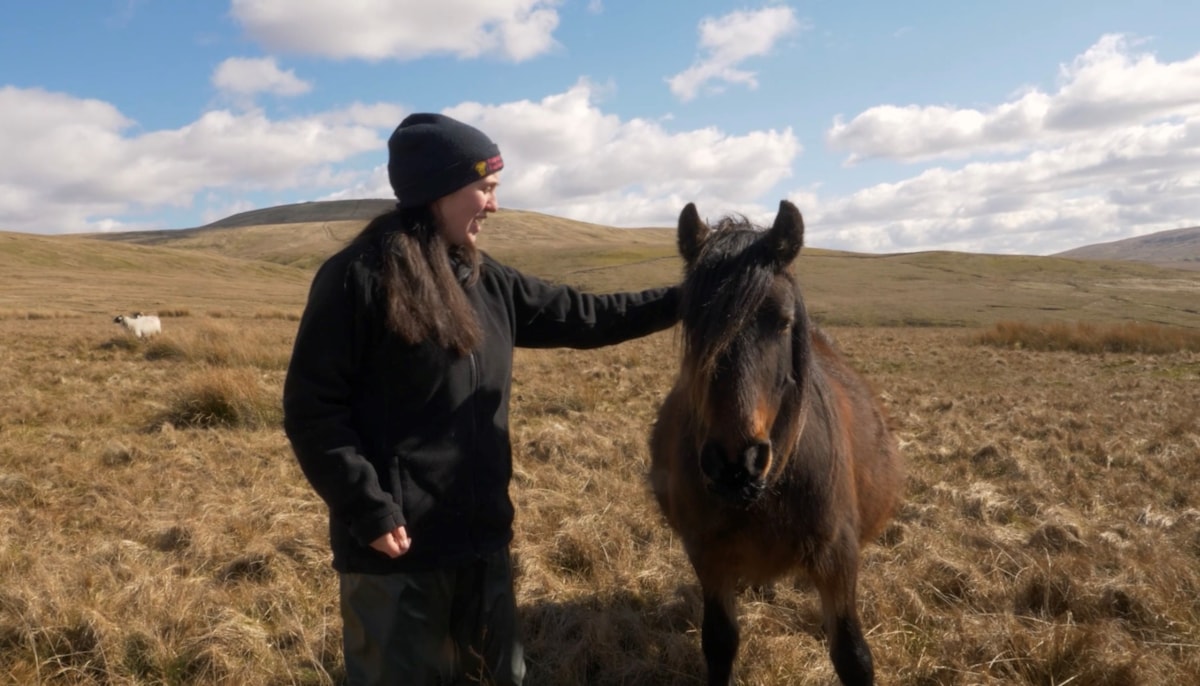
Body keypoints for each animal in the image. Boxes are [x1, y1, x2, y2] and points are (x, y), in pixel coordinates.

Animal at [657, 199, 902, 686]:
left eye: (783, 321)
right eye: (694, 323)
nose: (736, 462)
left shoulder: (838, 559)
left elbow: (853, 656)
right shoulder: (708, 556)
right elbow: (719, 643)